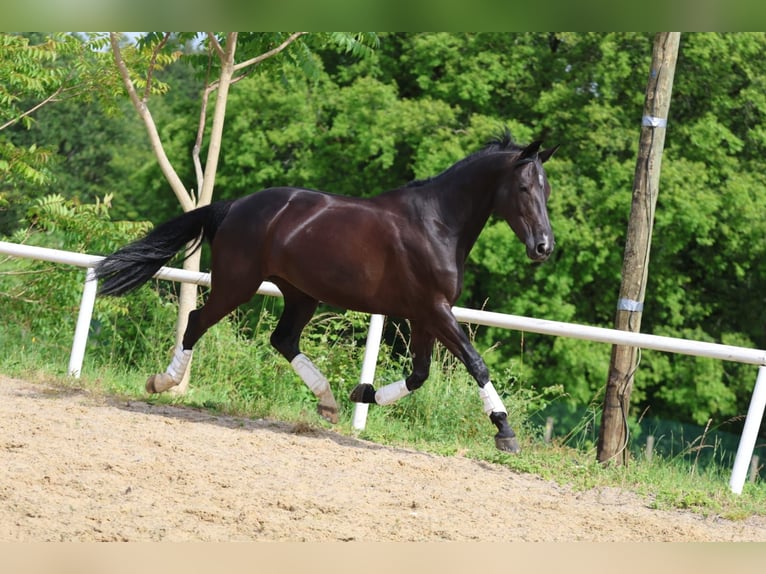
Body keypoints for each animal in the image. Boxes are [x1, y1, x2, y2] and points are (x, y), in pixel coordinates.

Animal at [96, 133, 560, 456]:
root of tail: (234, 206)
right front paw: (505, 431)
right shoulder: (434, 309)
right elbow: (476, 364)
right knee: (197, 321)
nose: (543, 247)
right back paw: (163, 381)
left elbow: (420, 374)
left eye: (547, 189)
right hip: (237, 285)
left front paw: (363, 393)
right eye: (524, 188)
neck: (437, 223)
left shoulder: (424, 314)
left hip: (301, 294)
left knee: (283, 339)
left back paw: (329, 401)